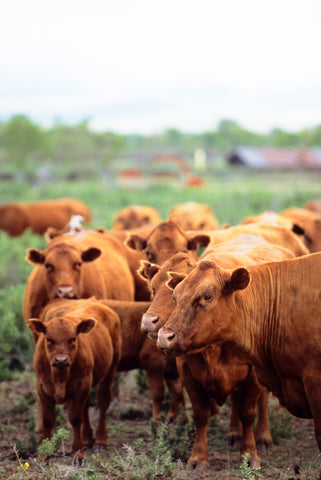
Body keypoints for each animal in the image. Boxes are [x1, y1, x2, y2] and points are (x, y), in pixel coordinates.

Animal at [26, 298, 120, 464]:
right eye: (48, 339)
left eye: (73, 339)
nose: (61, 360)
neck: (59, 376)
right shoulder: (42, 386)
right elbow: (47, 420)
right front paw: (44, 455)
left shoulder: (82, 384)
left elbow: (75, 419)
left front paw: (78, 454)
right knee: (86, 407)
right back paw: (87, 439)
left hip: (110, 370)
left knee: (103, 403)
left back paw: (101, 440)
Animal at [142, 236, 296, 468]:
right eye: (154, 288)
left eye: (206, 296)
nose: (151, 323)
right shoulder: (187, 371)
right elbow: (201, 414)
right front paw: (198, 457)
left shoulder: (253, 373)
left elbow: (247, 412)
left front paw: (249, 454)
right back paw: (234, 433)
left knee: (262, 402)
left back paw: (263, 436)